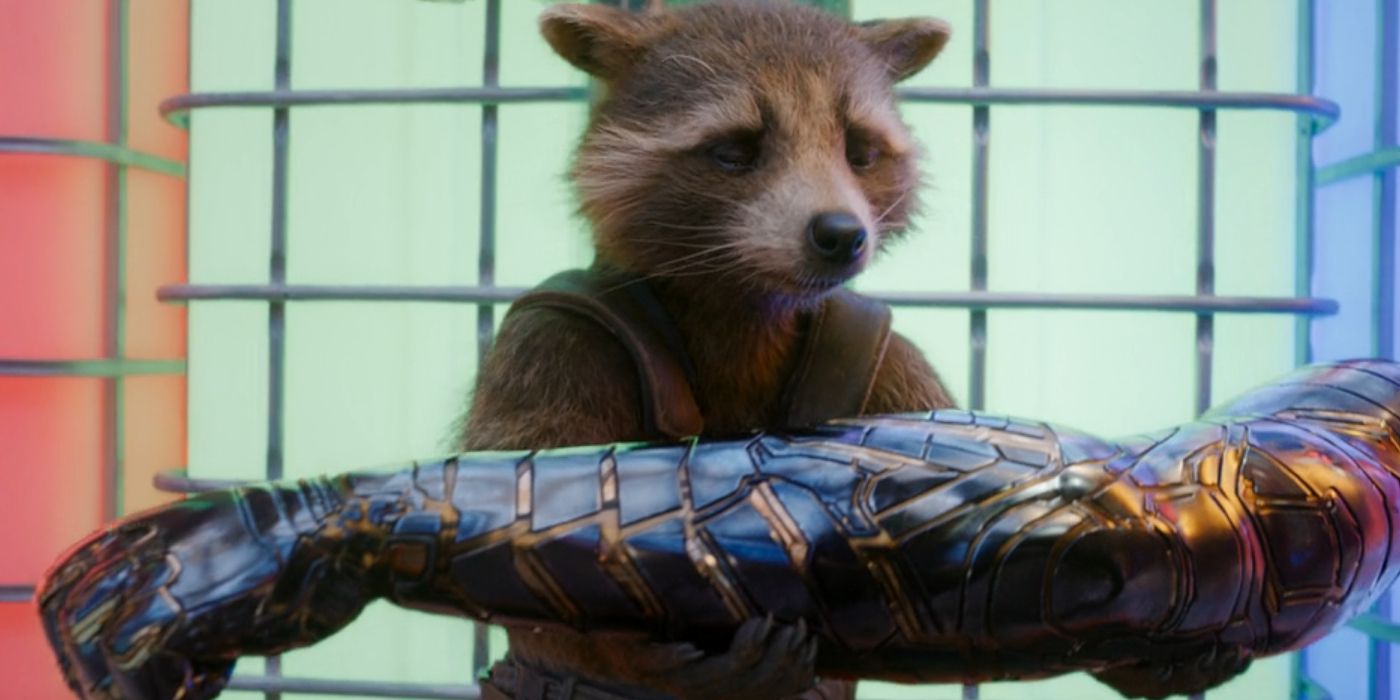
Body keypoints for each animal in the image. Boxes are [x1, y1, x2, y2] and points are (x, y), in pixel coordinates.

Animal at [459, 2, 952, 697]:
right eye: (735, 151)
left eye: (860, 151)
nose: (841, 234)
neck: (747, 295)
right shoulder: (555, 338)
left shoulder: (884, 356)